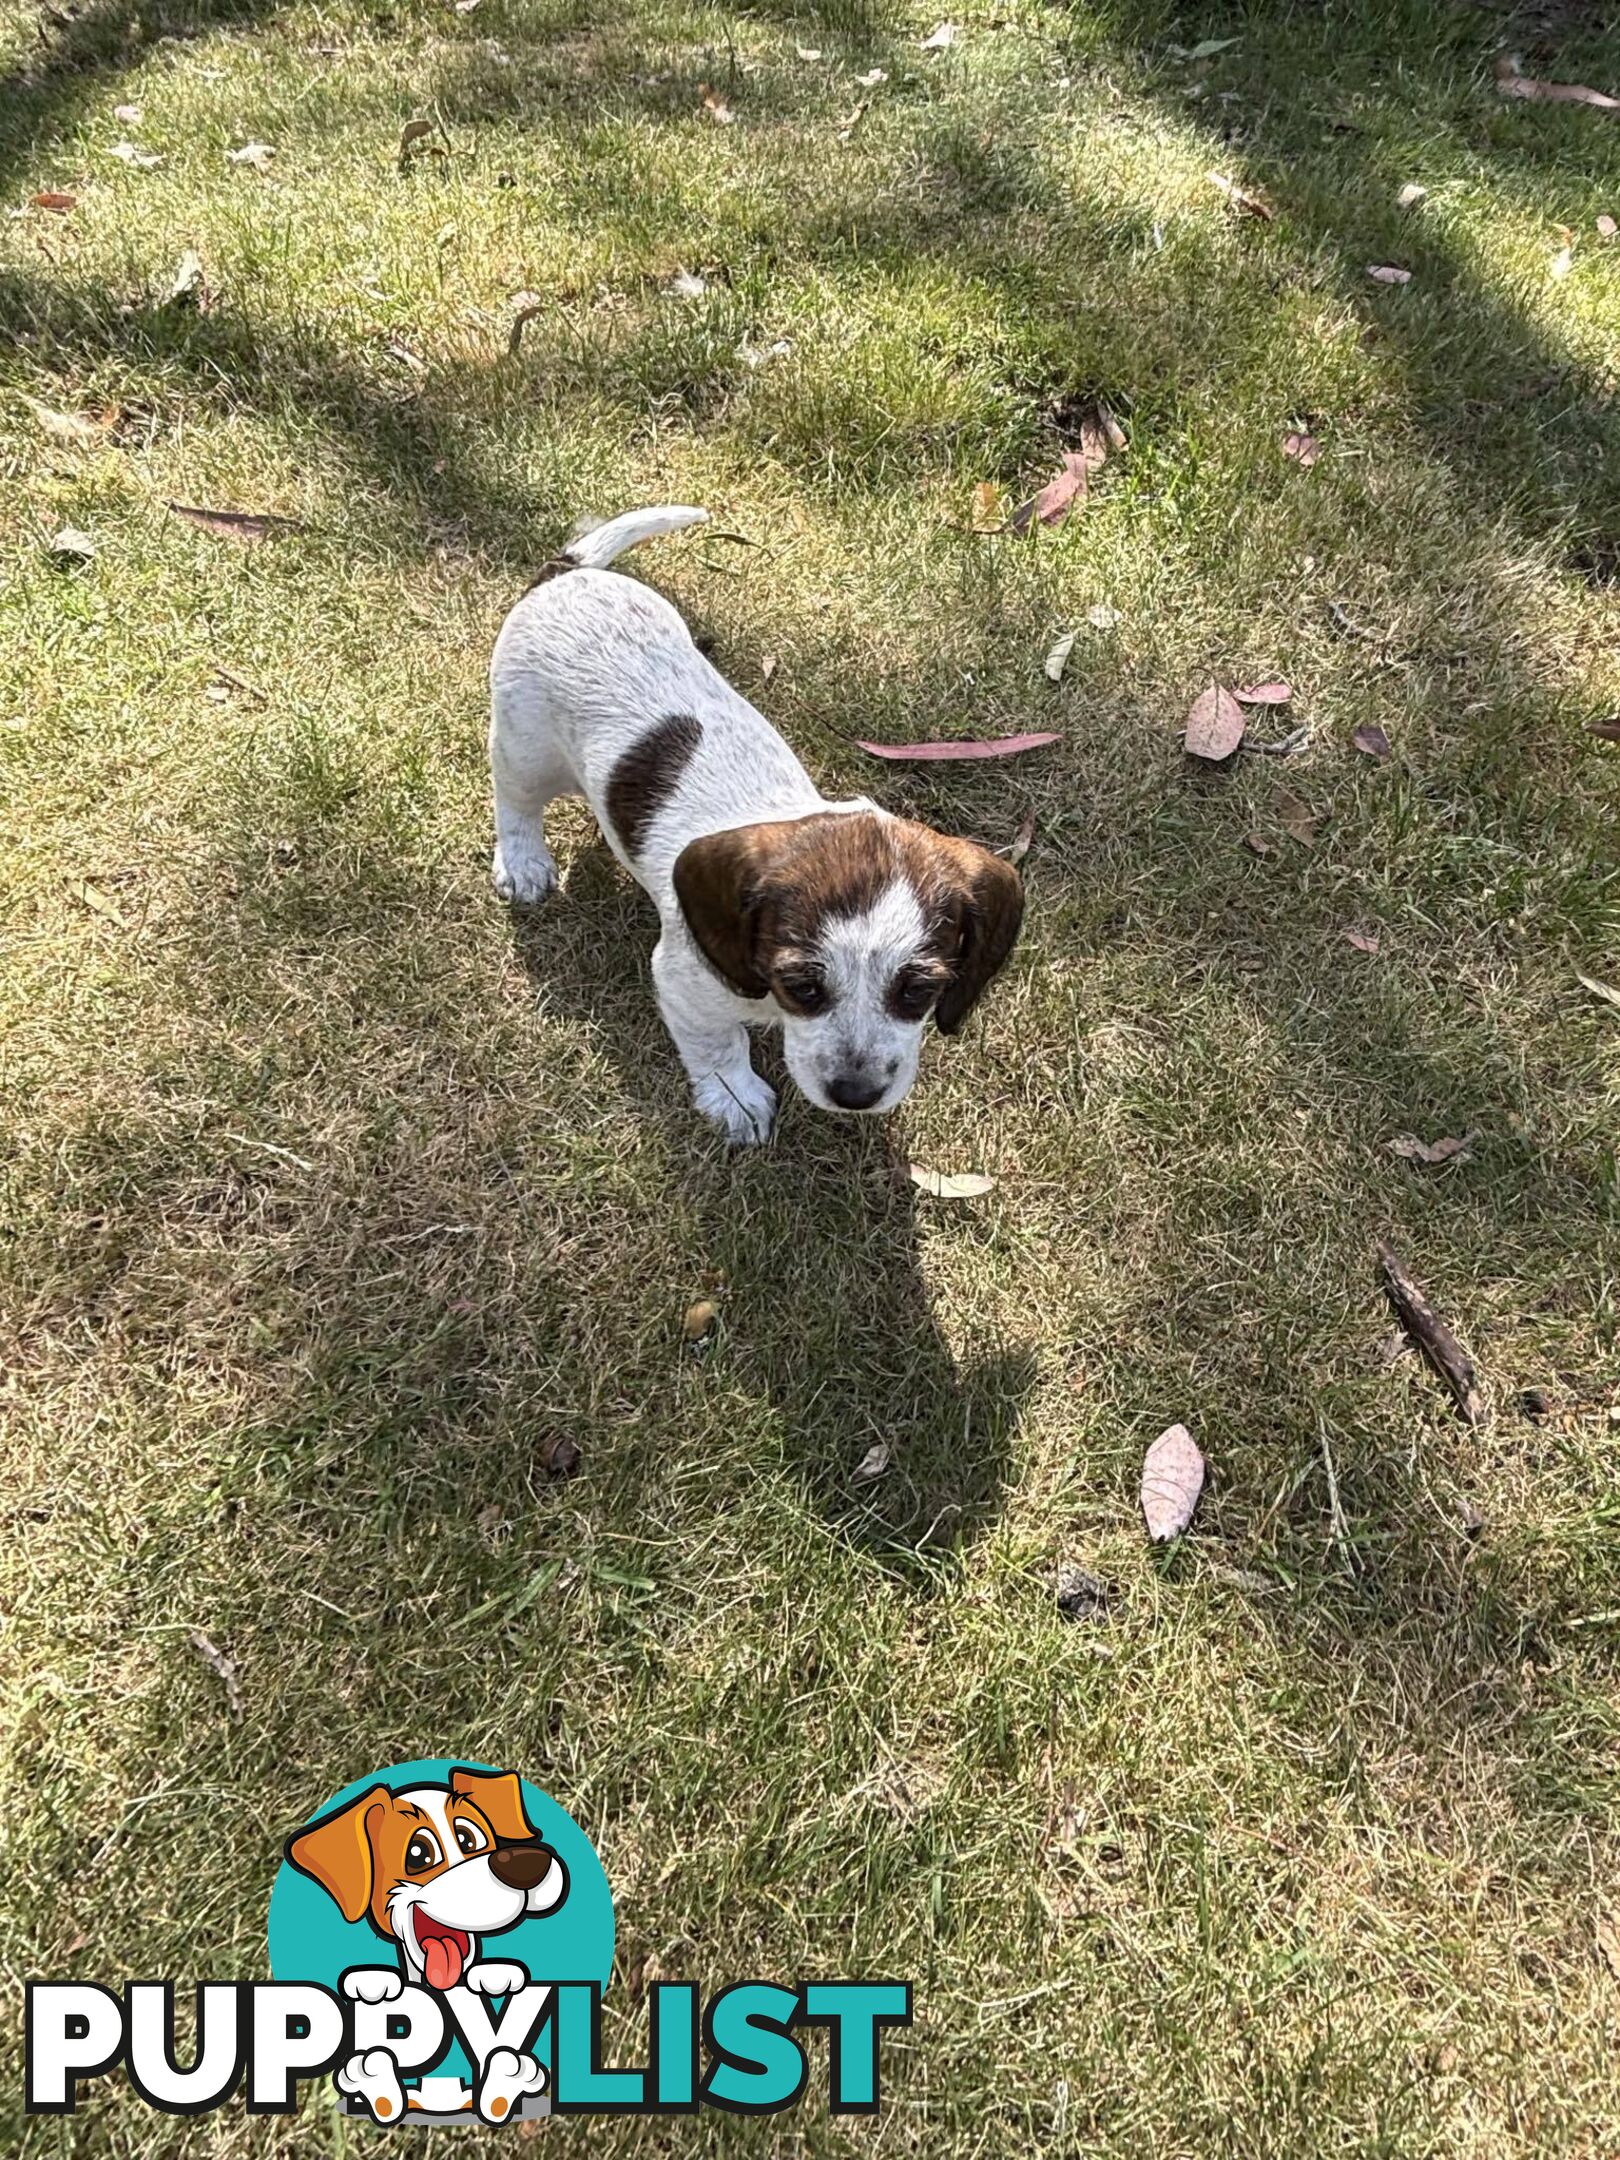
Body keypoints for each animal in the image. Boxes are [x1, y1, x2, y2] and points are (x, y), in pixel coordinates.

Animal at [492, 505, 1028, 1149]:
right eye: (804, 986)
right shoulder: (687, 987)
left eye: (918, 991)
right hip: (525, 751)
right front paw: (736, 1099)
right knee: (514, 802)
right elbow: (719, 1047)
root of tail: (565, 575)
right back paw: (522, 861)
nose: (856, 1095)